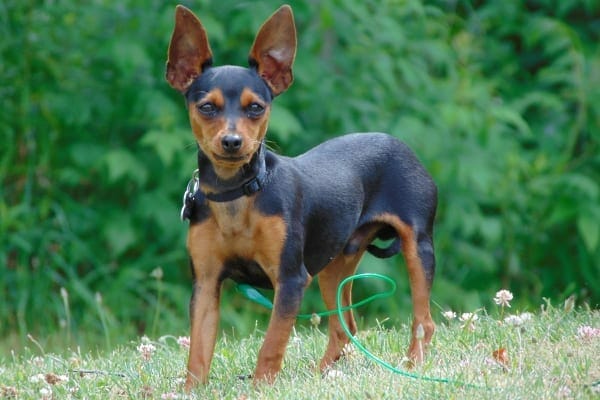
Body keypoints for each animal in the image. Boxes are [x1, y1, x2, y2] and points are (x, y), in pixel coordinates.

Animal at [166, 3, 438, 390]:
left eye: (256, 108)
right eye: (206, 107)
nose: (232, 142)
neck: (238, 194)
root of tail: (400, 144)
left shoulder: (291, 280)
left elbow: (271, 345)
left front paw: (261, 388)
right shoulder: (205, 284)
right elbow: (198, 354)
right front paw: (192, 391)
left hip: (417, 246)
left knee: (422, 322)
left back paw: (412, 366)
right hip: (333, 267)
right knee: (344, 328)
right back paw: (322, 375)